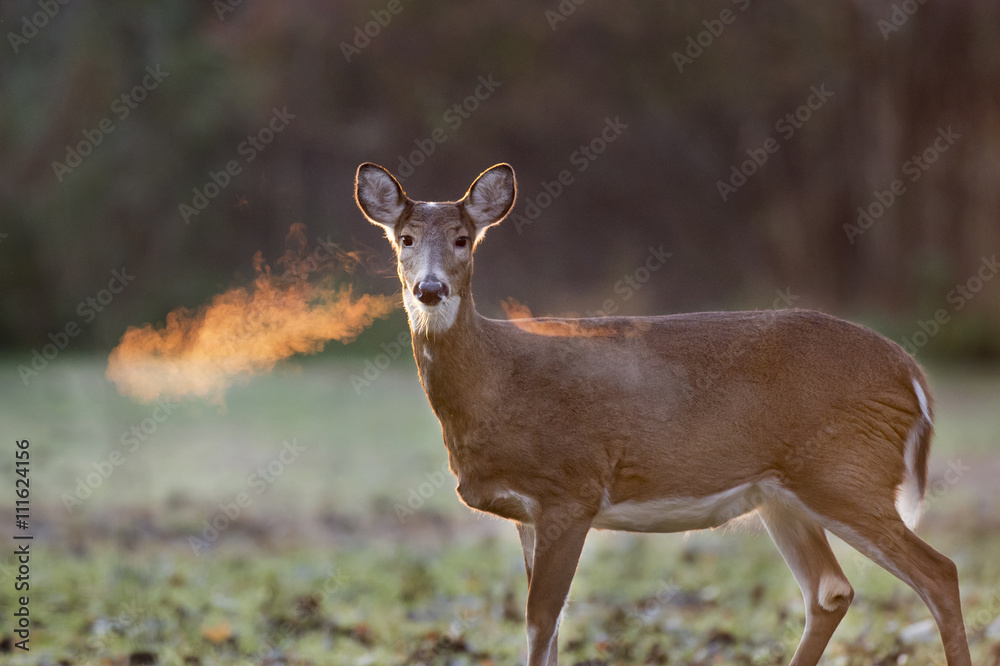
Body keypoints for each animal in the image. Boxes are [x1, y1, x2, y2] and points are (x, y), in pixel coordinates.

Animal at [354, 162, 972, 666]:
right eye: (405, 239)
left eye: (463, 239)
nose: (430, 289)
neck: (497, 383)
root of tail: (912, 374)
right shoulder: (528, 513)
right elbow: (549, 629)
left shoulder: (571, 490)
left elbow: (541, 624)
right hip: (783, 491)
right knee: (830, 591)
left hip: (844, 472)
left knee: (938, 572)